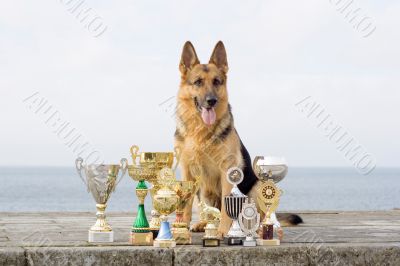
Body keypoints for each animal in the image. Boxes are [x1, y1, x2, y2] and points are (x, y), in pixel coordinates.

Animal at [173, 40, 302, 236]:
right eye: (198, 82)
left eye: (217, 82)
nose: (211, 100)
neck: (201, 131)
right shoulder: (187, 170)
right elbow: (186, 205)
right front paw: (181, 230)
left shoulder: (227, 170)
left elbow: (227, 208)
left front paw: (223, 231)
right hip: (204, 191)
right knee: (208, 212)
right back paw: (203, 224)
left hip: (258, 188)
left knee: (257, 217)